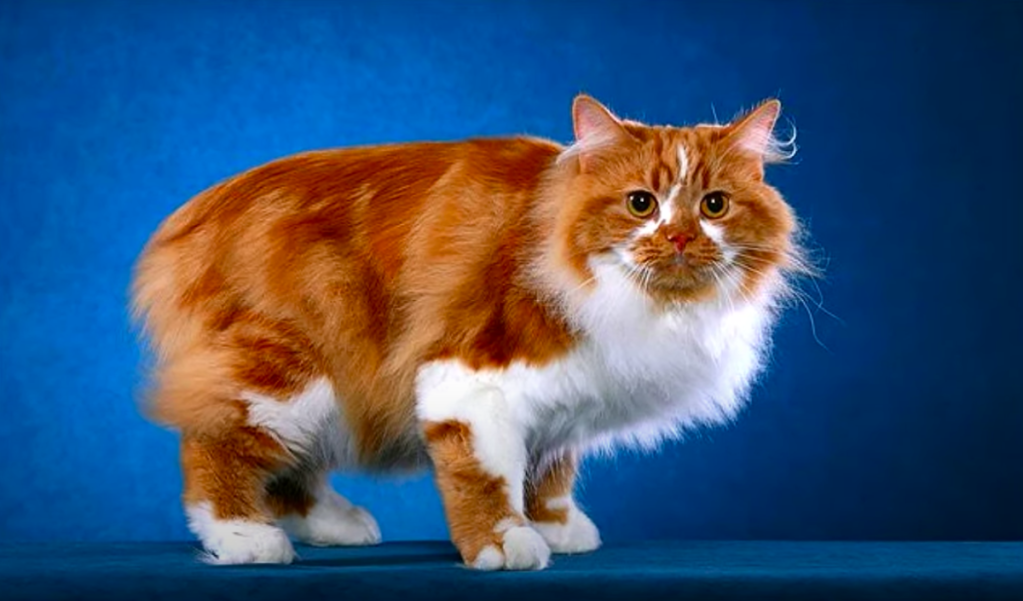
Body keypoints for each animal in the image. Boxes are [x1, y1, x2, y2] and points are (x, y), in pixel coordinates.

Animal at [131, 92, 810, 569]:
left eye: (714, 205)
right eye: (641, 203)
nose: (679, 238)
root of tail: (196, 211)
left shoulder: (568, 392)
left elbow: (550, 468)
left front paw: (555, 527)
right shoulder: (470, 378)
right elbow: (487, 475)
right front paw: (503, 543)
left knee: (291, 469)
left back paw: (333, 523)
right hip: (290, 369)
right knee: (214, 445)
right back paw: (244, 536)